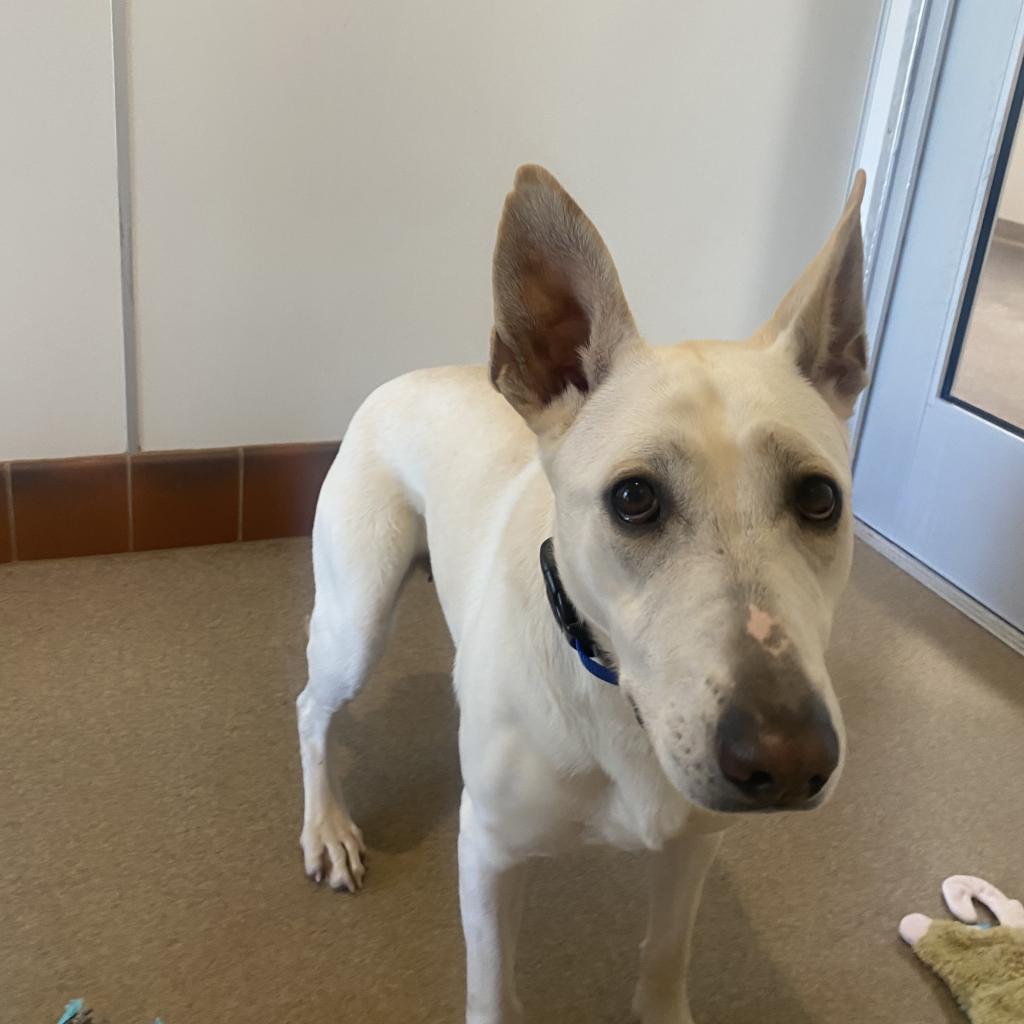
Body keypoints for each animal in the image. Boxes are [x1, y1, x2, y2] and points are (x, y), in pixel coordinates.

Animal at [299, 163, 868, 1019]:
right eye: (633, 499)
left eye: (819, 499)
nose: (789, 758)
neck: (613, 695)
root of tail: (407, 376)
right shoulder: (489, 854)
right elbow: (493, 994)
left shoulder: (694, 848)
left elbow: (665, 956)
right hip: (355, 622)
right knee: (312, 707)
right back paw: (326, 827)